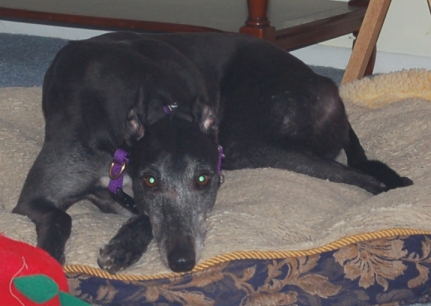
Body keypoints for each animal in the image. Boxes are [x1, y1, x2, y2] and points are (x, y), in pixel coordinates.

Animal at [11, 32, 414, 274]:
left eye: (204, 180)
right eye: (149, 181)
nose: (182, 261)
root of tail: (331, 89)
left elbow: (141, 218)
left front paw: (122, 247)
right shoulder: (35, 197)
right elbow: (63, 216)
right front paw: (50, 259)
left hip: (247, 144)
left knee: (361, 175)